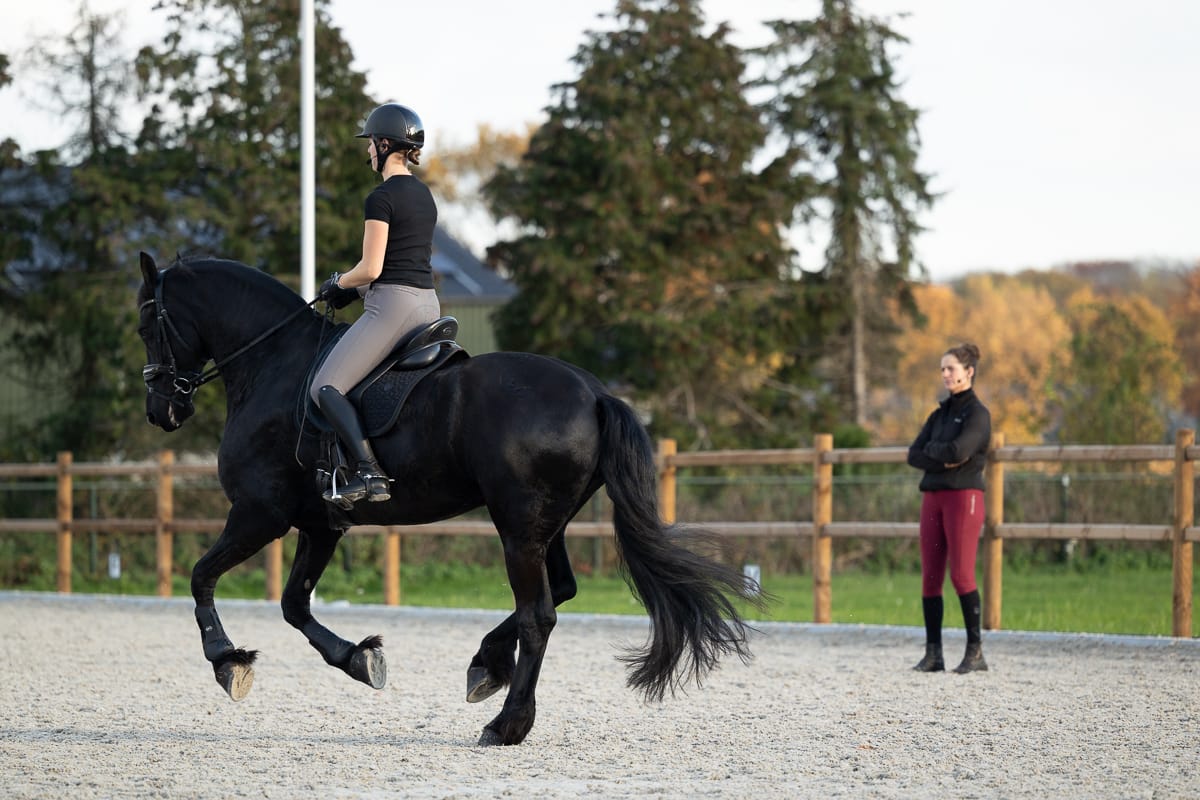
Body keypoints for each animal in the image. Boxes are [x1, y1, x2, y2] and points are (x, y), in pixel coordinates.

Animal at [135, 251, 761, 746]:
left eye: (146, 322)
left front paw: (227, 661)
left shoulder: (258, 514)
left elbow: (201, 576)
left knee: (539, 615)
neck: (273, 364)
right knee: (560, 589)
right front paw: (360, 660)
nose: (162, 411)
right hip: (543, 525)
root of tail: (595, 393)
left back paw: (507, 725)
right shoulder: (320, 524)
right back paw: (486, 664)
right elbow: (293, 605)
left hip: (517, 526)